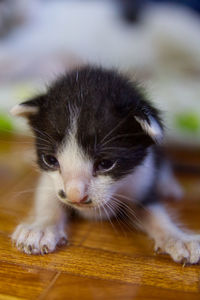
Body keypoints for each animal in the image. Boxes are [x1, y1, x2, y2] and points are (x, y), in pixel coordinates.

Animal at [10, 67, 200, 264]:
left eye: (106, 164)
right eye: (50, 160)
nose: (75, 197)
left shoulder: (142, 177)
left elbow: (155, 213)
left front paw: (178, 238)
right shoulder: (50, 182)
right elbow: (48, 200)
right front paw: (40, 228)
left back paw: (168, 186)